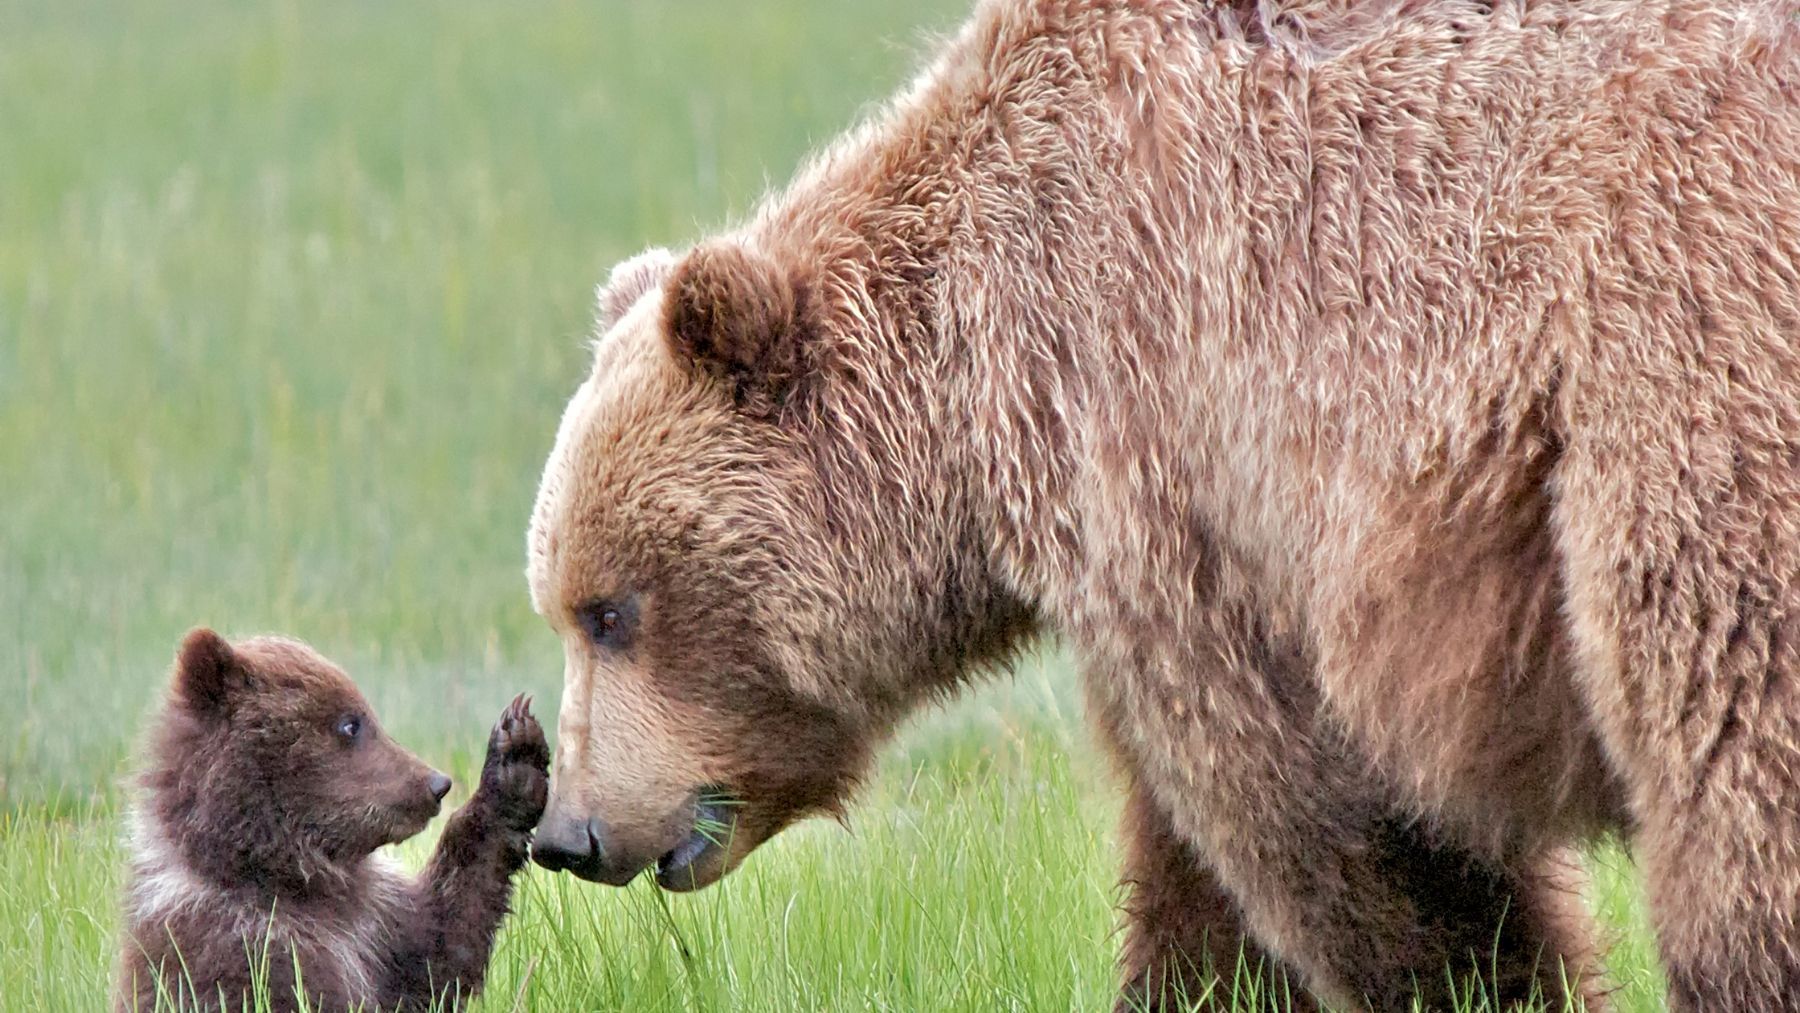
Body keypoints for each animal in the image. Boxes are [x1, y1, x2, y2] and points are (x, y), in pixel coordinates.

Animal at [115, 629, 550, 1012]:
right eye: (350, 723)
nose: (436, 784)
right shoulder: (227, 948)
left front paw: (516, 757)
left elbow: (440, 946)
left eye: (364, 714)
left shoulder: (377, 926)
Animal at [524, 1, 1800, 1010]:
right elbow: (1199, 878)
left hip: (1676, 372)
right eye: (562, 604)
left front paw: (1488, 974)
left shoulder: (1171, 443)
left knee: (1728, 744)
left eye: (611, 609)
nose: (567, 832)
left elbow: (1324, 812)